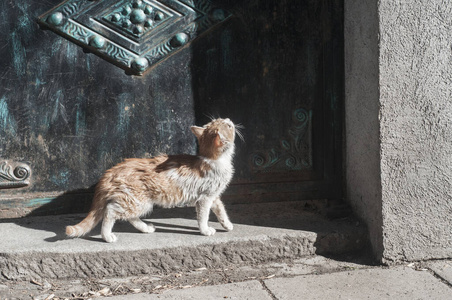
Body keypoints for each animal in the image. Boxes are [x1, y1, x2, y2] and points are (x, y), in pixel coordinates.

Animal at [66, 118, 240, 243]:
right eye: (228, 125)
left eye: (222, 120)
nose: (229, 119)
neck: (214, 159)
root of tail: (112, 170)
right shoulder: (204, 198)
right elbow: (203, 217)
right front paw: (205, 230)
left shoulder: (213, 195)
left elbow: (221, 210)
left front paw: (227, 224)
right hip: (138, 201)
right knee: (110, 212)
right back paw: (107, 236)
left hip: (137, 202)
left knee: (129, 216)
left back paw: (144, 228)